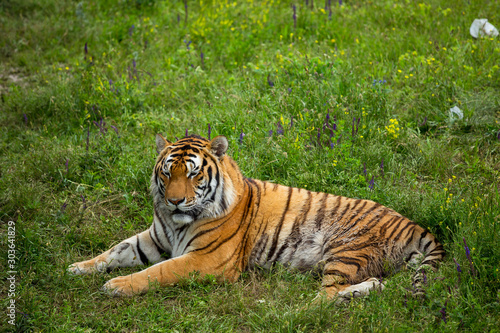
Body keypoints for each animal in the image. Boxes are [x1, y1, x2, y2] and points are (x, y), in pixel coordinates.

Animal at [67, 134, 446, 302]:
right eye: (166, 172)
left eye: (192, 174)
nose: (174, 201)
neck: (176, 222)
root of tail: (413, 224)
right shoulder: (152, 238)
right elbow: (115, 250)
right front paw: (78, 267)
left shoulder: (208, 259)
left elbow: (158, 271)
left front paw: (116, 286)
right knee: (377, 284)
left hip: (346, 249)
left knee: (325, 297)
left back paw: (289, 306)